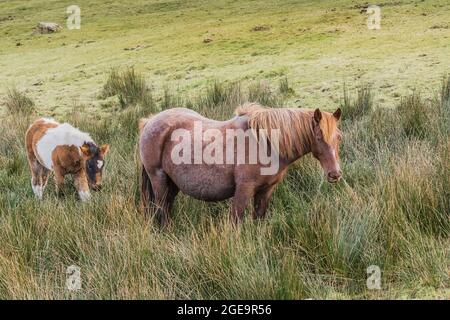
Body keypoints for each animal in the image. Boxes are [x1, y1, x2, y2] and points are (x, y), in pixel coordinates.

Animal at [139, 104, 342, 226]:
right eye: (318, 137)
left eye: (339, 137)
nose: (335, 174)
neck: (266, 143)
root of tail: (149, 121)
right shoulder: (244, 189)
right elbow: (236, 220)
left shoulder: (266, 190)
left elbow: (259, 217)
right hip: (158, 178)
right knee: (162, 209)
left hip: (172, 184)